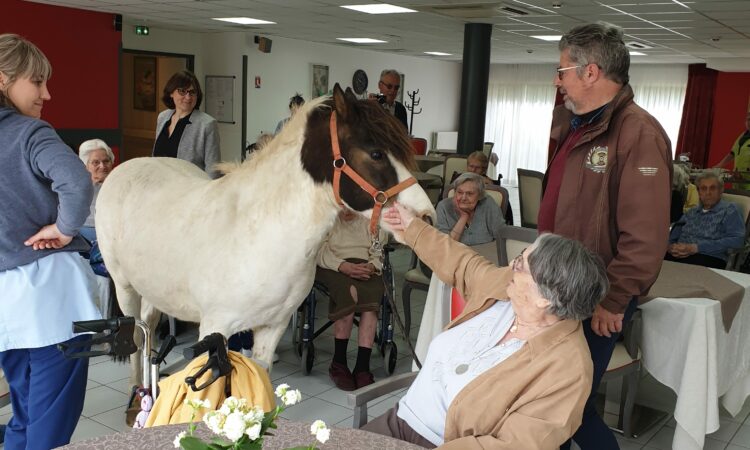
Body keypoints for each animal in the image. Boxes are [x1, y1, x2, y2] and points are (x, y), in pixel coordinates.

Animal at [95, 83, 434, 384]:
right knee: (137, 335)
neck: (260, 232)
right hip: (125, 287)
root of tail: (127, 167)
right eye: (376, 153)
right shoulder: (215, 328)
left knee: (151, 325)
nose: (425, 215)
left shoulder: (272, 327)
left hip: (154, 288)